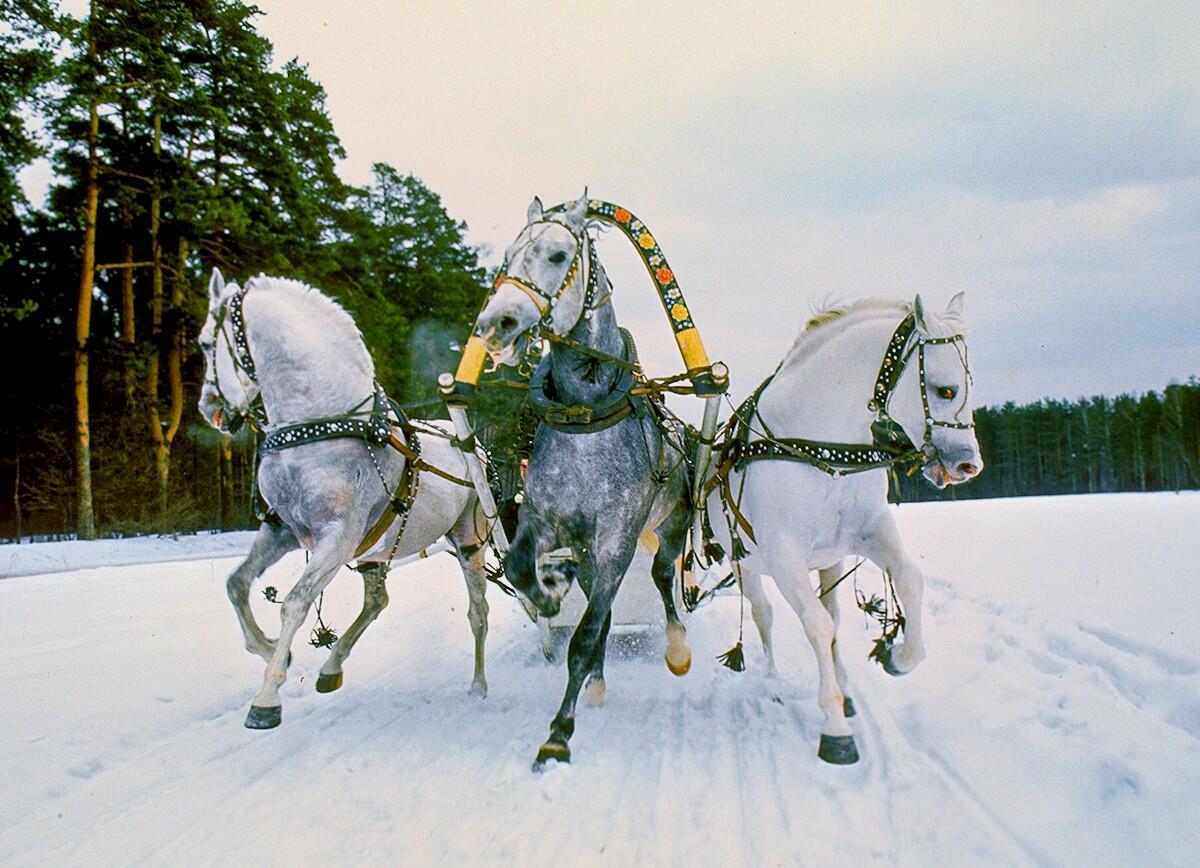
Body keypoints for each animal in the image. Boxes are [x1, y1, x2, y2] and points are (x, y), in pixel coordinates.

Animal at [201, 270, 492, 725]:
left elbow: (295, 603)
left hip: (469, 540)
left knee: (478, 611)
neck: (322, 426)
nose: (207, 407)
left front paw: (267, 697)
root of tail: (471, 444)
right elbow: (236, 584)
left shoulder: (338, 536)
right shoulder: (282, 530)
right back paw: (331, 666)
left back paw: (478, 684)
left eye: (203, 344)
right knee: (376, 601)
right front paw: (272, 651)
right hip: (378, 550)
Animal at [470, 195, 691, 768]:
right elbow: (525, 569)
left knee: (662, 576)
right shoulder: (545, 520)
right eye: (507, 257)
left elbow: (588, 631)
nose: (495, 323)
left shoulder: (616, 538)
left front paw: (558, 733)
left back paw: (677, 646)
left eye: (557, 254)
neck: (585, 415)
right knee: (604, 603)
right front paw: (549, 594)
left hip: (671, 523)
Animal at [705, 295, 979, 763]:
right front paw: (834, 728)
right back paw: (775, 682)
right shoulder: (783, 555)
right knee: (764, 615)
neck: (821, 449)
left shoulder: (868, 530)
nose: (968, 464)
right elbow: (814, 624)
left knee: (832, 611)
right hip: (747, 567)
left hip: (829, 560)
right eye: (946, 389)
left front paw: (899, 657)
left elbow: (909, 580)